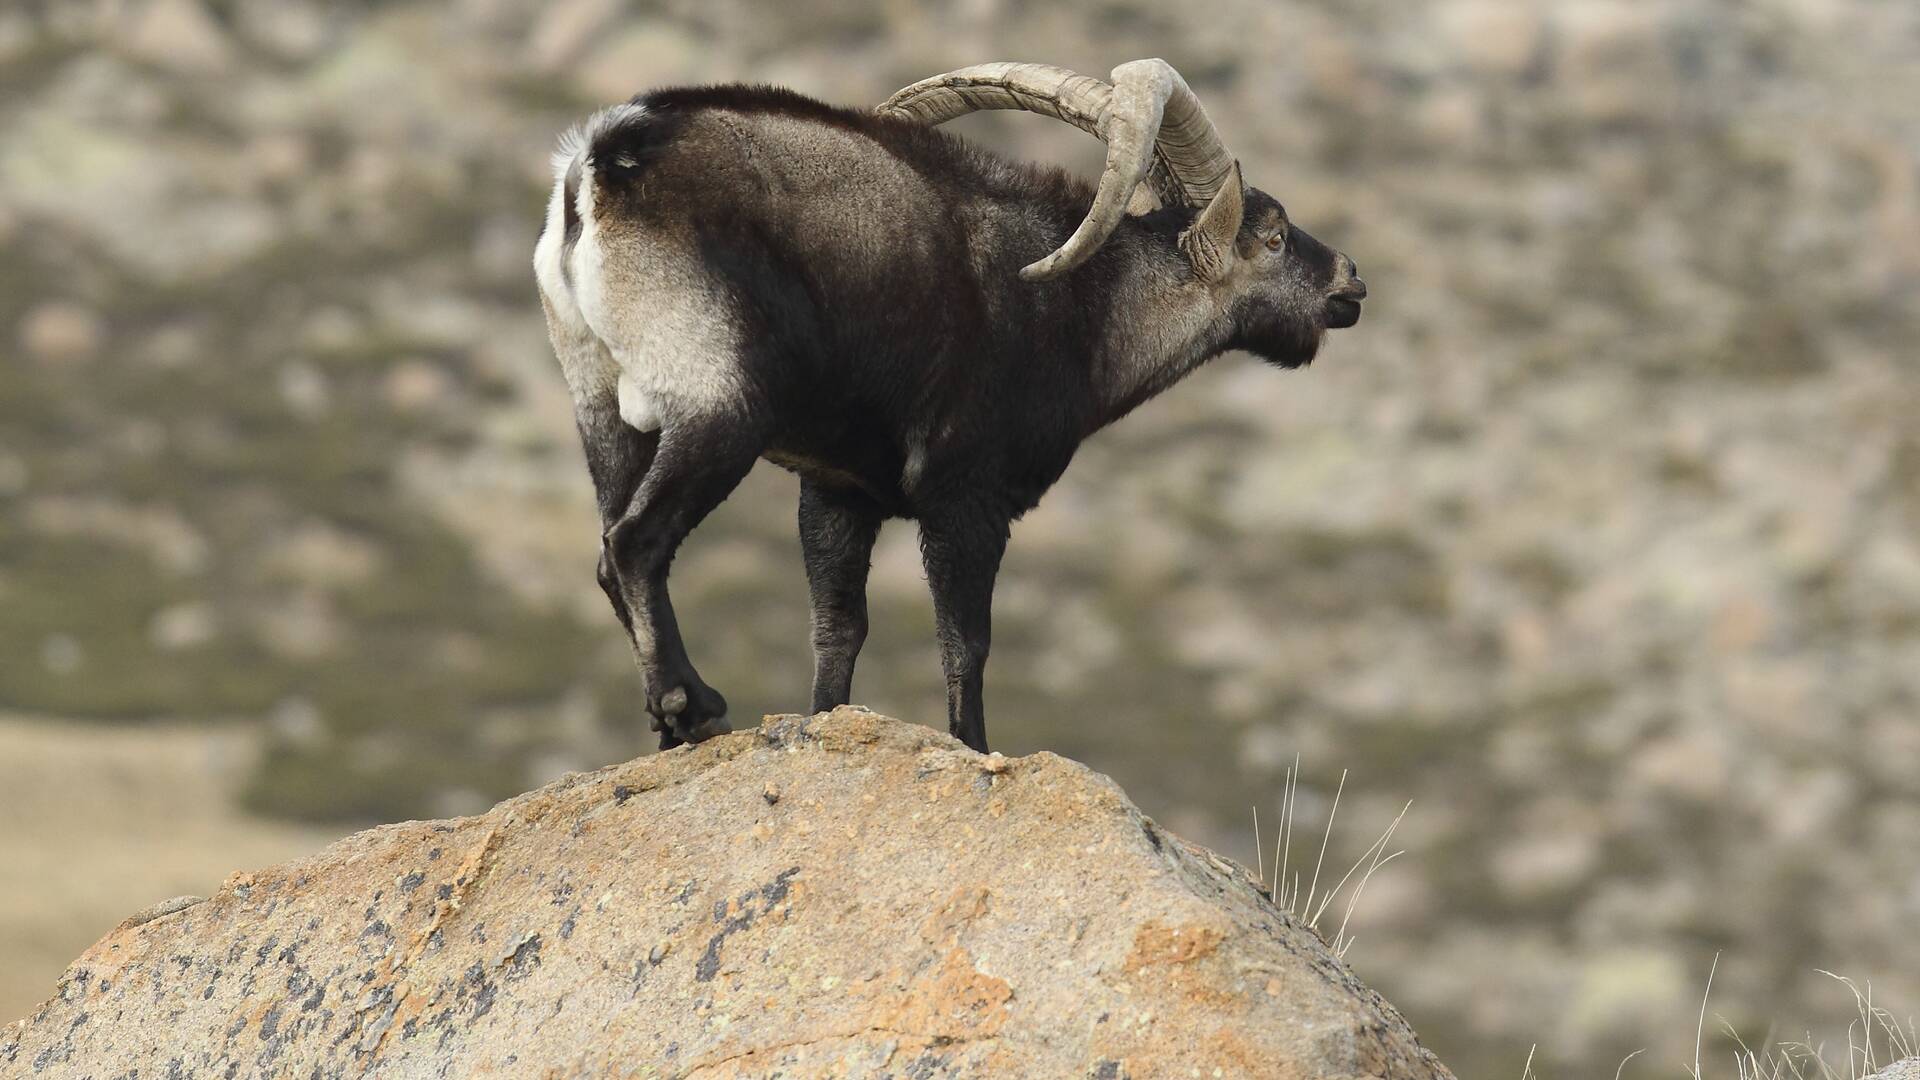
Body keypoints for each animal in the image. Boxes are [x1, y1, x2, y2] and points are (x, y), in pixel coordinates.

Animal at [529, 58, 1367, 749]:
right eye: (1274, 236)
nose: (1350, 281)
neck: (1088, 306)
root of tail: (602, 163)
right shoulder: (968, 494)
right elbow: (965, 642)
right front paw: (975, 746)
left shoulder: (838, 490)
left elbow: (838, 628)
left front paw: (825, 719)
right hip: (717, 399)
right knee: (635, 541)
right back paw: (692, 706)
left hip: (602, 404)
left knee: (608, 547)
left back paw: (669, 727)